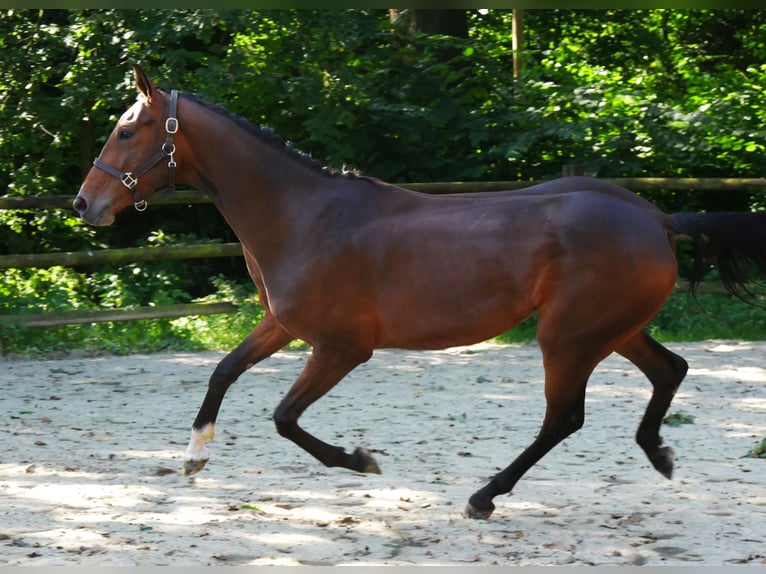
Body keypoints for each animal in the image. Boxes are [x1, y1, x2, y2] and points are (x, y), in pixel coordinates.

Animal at [73, 65, 766, 520]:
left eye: (128, 132)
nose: (85, 205)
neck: (305, 216)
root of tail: (657, 219)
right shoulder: (285, 326)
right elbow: (222, 370)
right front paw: (194, 457)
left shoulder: (342, 348)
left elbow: (285, 417)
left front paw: (361, 461)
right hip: (611, 329)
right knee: (670, 369)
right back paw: (659, 454)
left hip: (568, 336)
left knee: (564, 417)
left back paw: (485, 496)